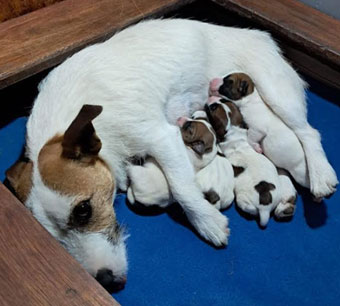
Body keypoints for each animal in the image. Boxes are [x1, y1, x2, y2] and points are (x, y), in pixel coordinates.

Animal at [4, 18, 338, 290]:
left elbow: (182, 188)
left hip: (276, 94)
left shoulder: (162, 137)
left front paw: (207, 222)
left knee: (309, 133)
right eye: (52, 238)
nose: (107, 282)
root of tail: (258, 35)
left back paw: (321, 176)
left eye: (83, 210)